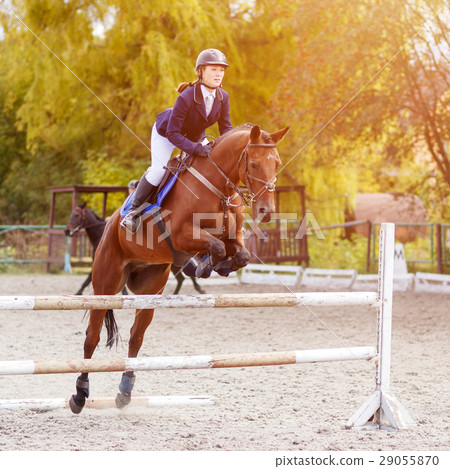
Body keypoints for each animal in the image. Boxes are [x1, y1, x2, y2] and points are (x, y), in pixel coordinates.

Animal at [64, 202, 205, 296]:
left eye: (76, 215)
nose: (66, 231)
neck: (101, 234)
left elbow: (87, 280)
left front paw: (78, 292)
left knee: (182, 278)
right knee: (182, 278)